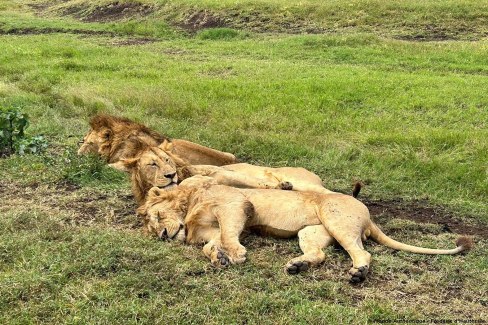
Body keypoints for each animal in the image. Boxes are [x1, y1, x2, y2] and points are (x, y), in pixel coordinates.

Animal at [110, 140, 360, 205]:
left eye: (166, 159)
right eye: (152, 164)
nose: (171, 175)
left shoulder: (223, 173)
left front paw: (279, 186)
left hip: (307, 183)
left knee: (336, 194)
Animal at [137, 178, 472, 282]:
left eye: (156, 217)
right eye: (152, 230)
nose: (163, 236)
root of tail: (368, 215)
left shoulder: (236, 204)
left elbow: (230, 234)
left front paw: (234, 254)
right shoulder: (212, 228)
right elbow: (210, 245)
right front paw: (218, 257)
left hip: (335, 218)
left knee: (362, 253)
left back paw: (358, 273)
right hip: (310, 232)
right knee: (321, 255)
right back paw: (298, 265)